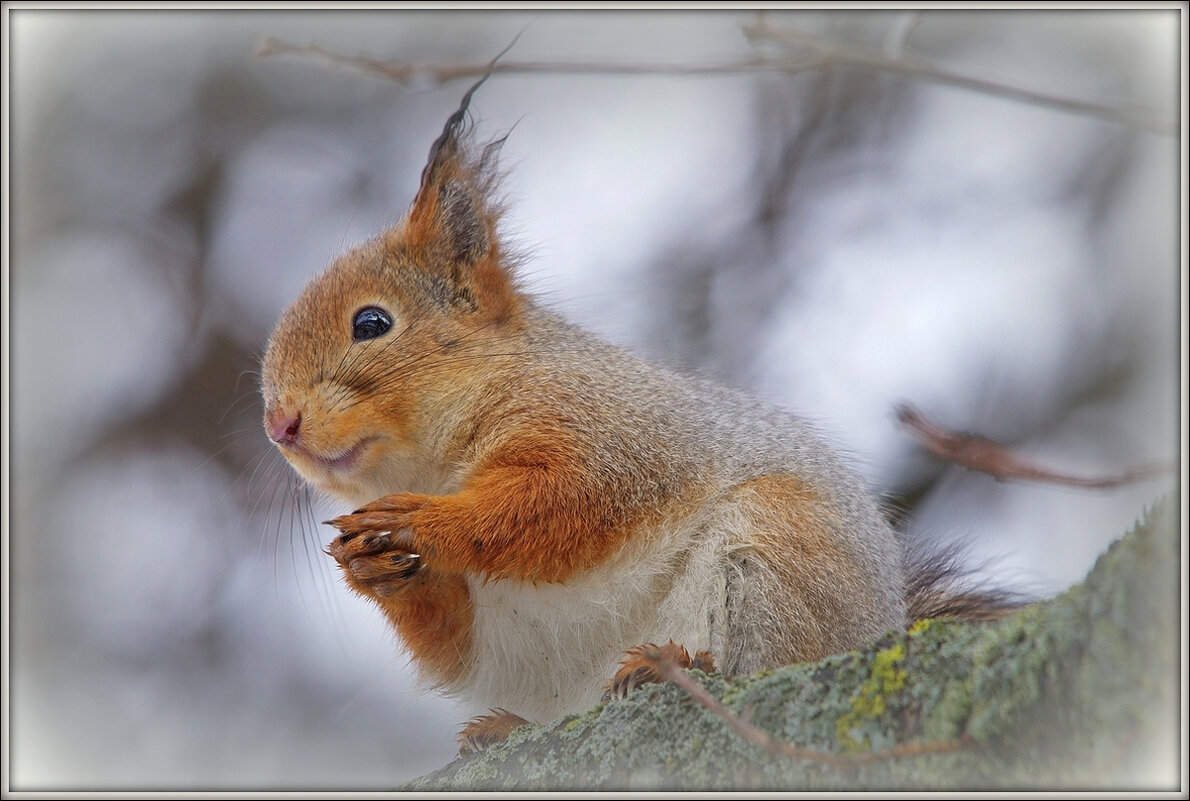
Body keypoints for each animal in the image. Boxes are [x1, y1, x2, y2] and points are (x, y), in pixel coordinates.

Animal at [258, 74, 1013, 756]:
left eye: (372, 323)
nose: (279, 425)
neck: (435, 462)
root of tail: (882, 624)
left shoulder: (610, 430)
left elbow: (563, 499)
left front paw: (427, 521)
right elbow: (457, 639)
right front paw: (370, 565)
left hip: (779, 550)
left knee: (771, 654)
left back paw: (675, 666)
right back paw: (504, 726)